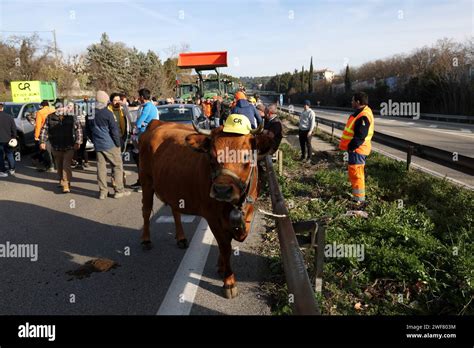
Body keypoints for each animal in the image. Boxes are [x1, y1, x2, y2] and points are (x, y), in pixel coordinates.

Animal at [139, 119, 272, 296]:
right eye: (211, 156)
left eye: (246, 155)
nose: (222, 190)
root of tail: (158, 123)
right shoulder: (212, 217)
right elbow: (225, 246)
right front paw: (229, 281)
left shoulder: (248, 210)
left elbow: (236, 237)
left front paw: (221, 267)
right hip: (146, 181)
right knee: (146, 211)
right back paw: (146, 240)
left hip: (174, 189)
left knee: (175, 211)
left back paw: (181, 238)